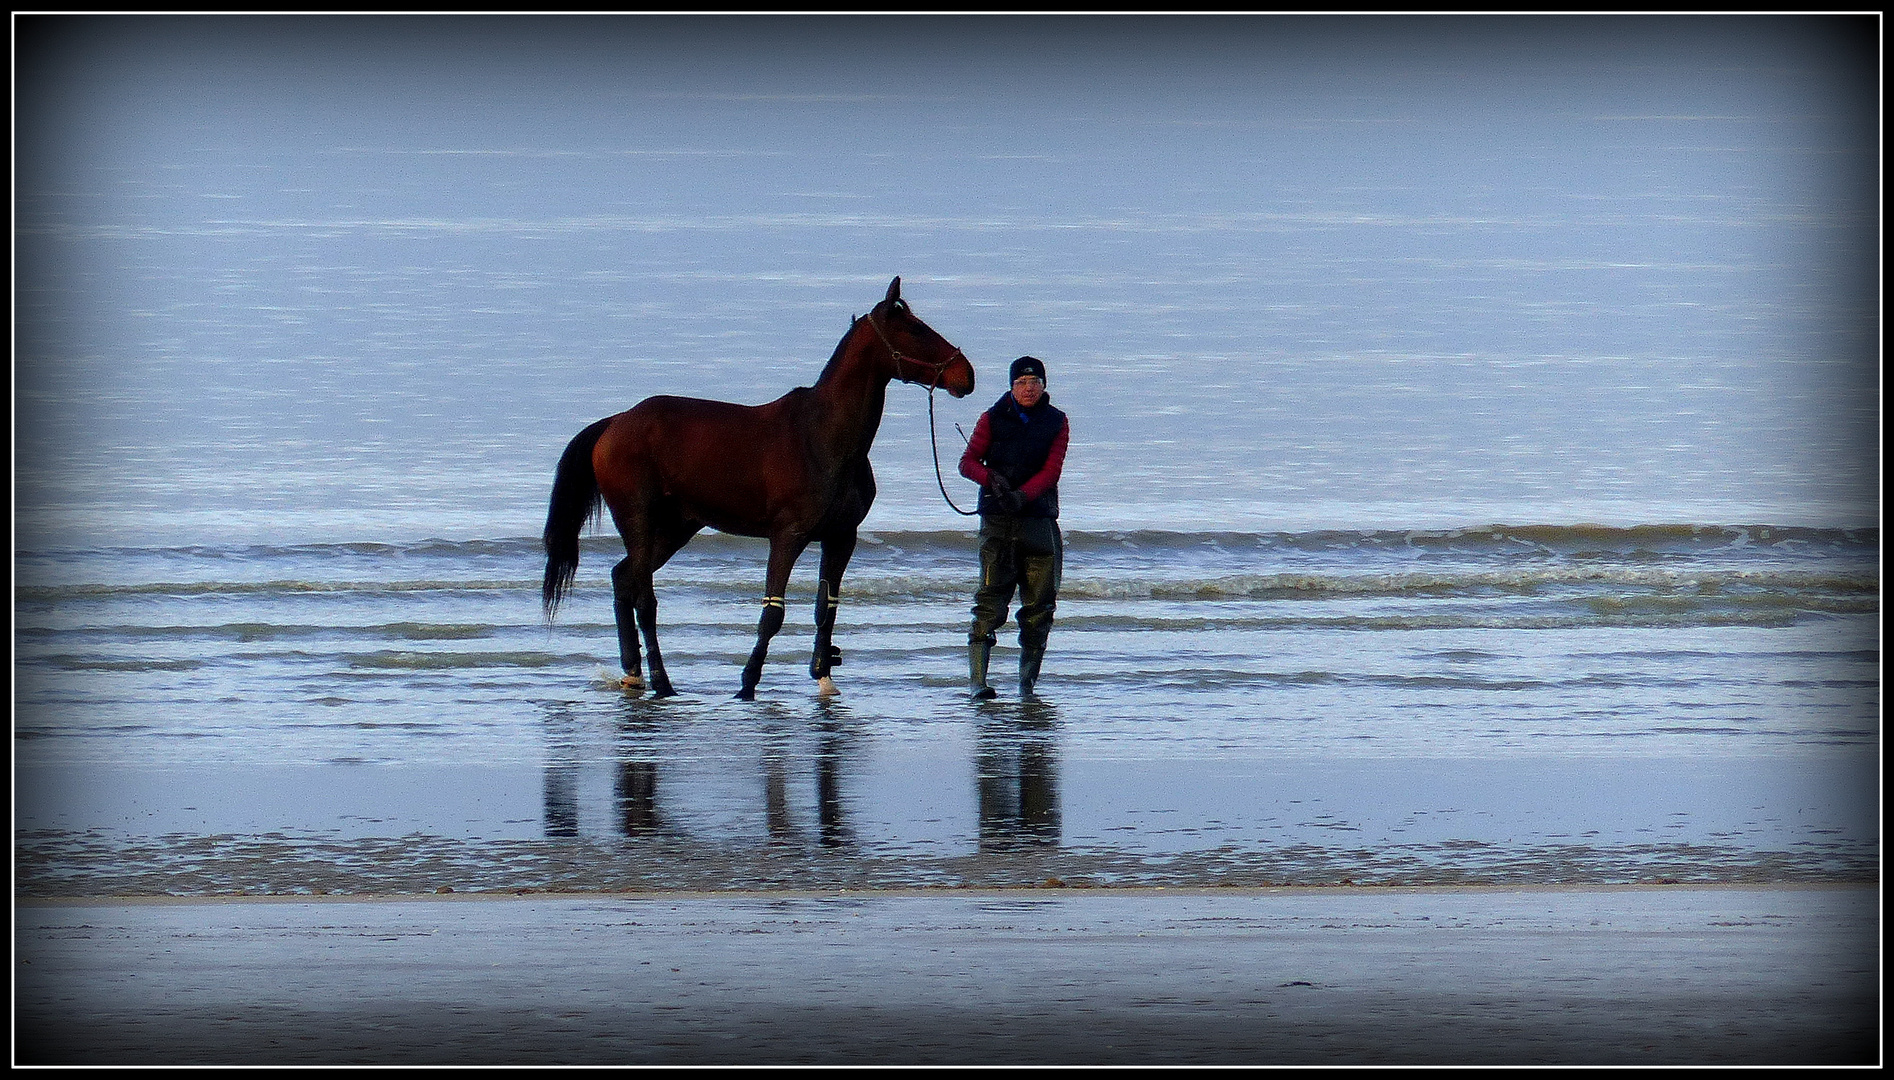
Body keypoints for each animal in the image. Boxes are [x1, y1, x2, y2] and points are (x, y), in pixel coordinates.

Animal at [537, 276, 969, 697]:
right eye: (914, 329)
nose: (966, 375)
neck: (823, 436)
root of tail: (615, 422)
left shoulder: (841, 537)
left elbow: (826, 608)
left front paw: (823, 674)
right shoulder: (788, 536)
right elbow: (773, 612)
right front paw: (748, 681)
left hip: (675, 529)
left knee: (623, 581)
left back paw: (634, 673)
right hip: (639, 521)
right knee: (644, 599)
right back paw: (661, 681)